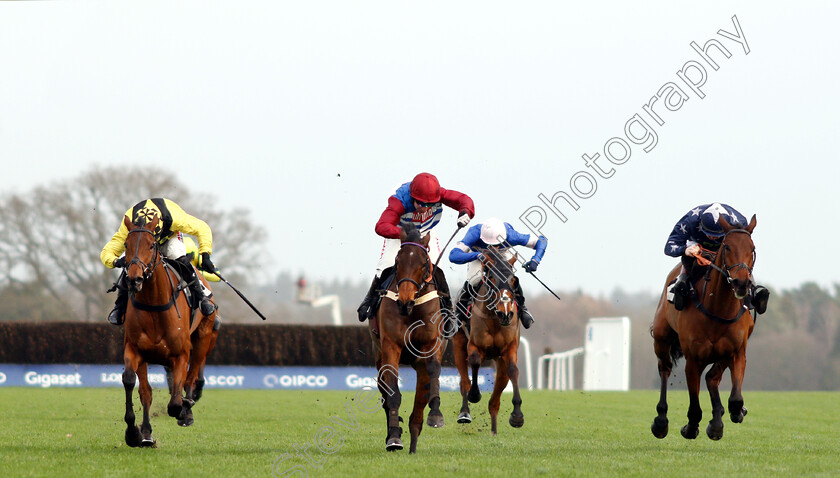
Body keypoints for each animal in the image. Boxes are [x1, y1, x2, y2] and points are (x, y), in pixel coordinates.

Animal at [122, 215, 220, 446]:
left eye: (151, 245)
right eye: (126, 245)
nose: (134, 279)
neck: (154, 306)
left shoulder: (181, 354)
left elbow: (175, 400)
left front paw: (184, 410)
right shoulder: (135, 350)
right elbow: (134, 384)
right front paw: (135, 432)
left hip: (203, 337)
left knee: (191, 376)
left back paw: (188, 407)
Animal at [368, 222, 446, 454]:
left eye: (423, 263)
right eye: (397, 262)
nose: (404, 301)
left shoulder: (431, 344)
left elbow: (434, 371)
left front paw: (435, 415)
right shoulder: (390, 345)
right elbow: (392, 391)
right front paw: (394, 437)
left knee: (422, 395)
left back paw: (414, 438)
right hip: (378, 357)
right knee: (384, 392)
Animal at [652, 216, 756, 440]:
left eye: (752, 248)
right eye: (727, 247)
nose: (741, 283)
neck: (718, 310)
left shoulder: (737, 352)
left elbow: (735, 399)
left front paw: (734, 413)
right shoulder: (693, 359)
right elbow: (694, 406)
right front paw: (690, 427)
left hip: (722, 354)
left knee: (712, 378)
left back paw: (718, 419)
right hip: (661, 338)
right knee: (665, 368)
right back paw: (661, 420)